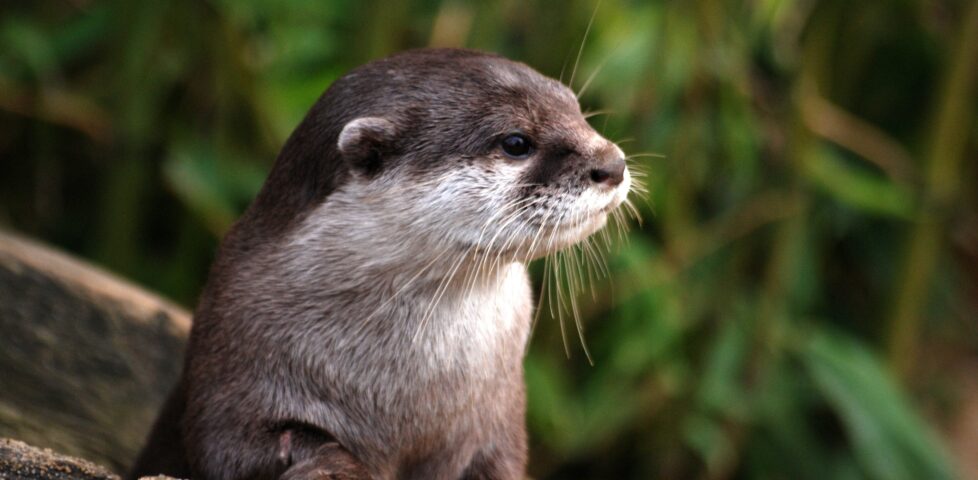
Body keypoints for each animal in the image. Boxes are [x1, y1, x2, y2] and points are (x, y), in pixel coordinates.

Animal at [130, 48, 631, 480]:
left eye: (576, 109)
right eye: (515, 142)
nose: (613, 163)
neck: (404, 395)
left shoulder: (500, 420)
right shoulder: (230, 367)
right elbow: (232, 448)